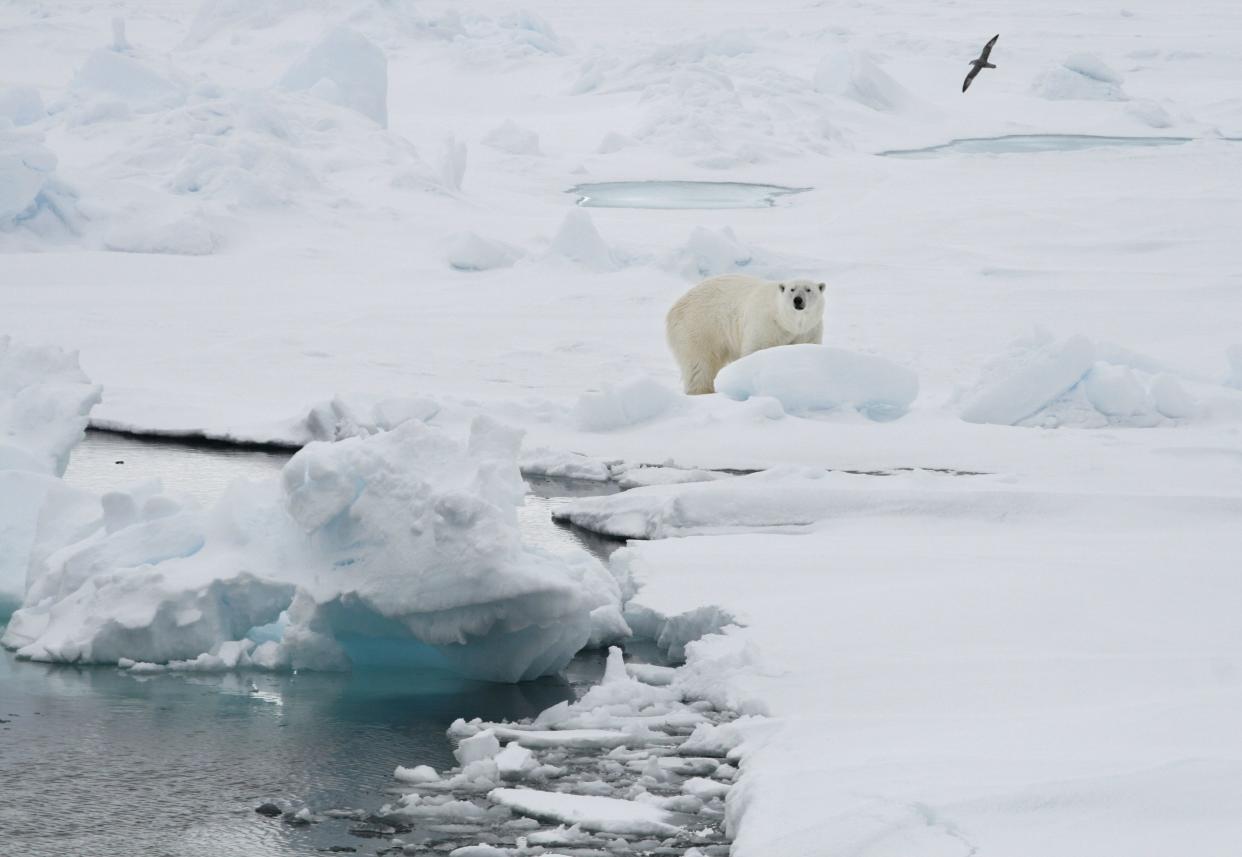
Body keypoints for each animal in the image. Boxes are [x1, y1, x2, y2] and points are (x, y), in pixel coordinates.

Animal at [670, 273, 824, 394]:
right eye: (792, 289)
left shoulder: (809, 330)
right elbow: (756, 349)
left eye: (809, 289)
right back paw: (702, 391)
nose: (798, 300)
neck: (784, 320)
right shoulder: (765, 324)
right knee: (699, 363)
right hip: (699, 326)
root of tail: (676, 306)